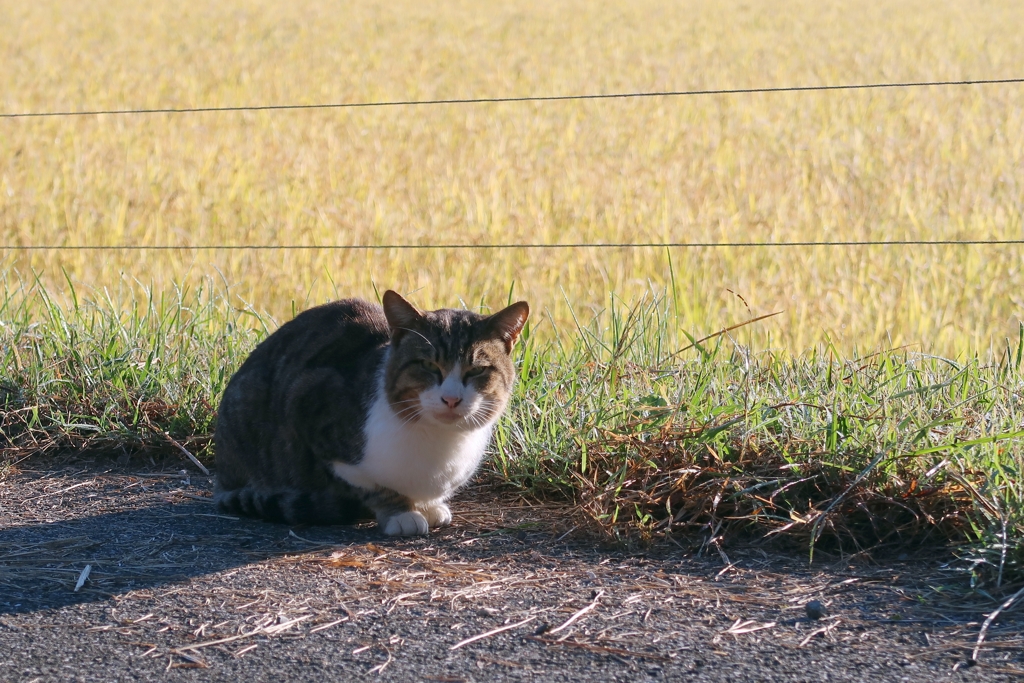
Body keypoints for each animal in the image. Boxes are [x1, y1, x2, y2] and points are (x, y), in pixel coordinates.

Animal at [209, 290, 528, 536]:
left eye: (476, 370)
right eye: (428, 366)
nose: (451, 399)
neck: (439, 442)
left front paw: (427, 506)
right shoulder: (308, 406)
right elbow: (374, 485)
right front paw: (401, 512)